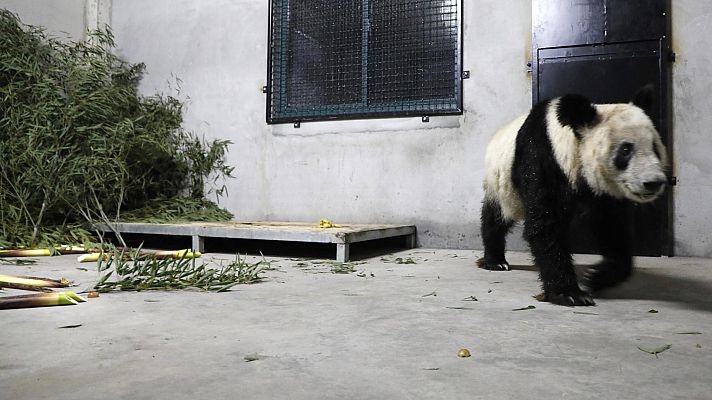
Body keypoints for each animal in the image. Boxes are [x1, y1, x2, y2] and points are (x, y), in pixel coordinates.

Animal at [478, 86, 668, 306]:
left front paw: (596, 277)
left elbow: (611, 226)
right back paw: (495, 261)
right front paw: (569, 293)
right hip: (501, 185)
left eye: (655, 147)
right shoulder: (542, 158)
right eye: (626, 149)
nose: (653, 182)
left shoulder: (603, 191)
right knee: (495, 217)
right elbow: (545, 225)